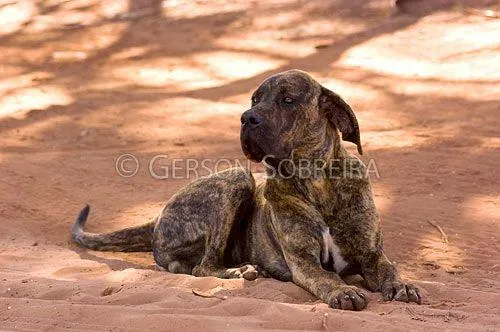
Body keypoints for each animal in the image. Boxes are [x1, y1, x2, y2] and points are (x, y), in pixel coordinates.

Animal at [71, 68, 422, 310]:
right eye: (255, 100)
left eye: (288, 100)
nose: (246, 118)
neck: (317, 183)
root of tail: (157, 219)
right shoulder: (304, 262)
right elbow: (326, 276)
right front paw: (343, 289)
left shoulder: (372, 255)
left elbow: (390, 270)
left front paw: (402, 285)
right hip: (238, 179)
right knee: (201, 267)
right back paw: (241, 272)